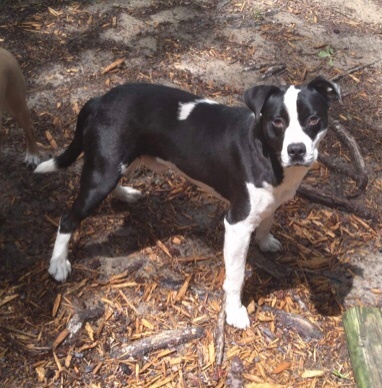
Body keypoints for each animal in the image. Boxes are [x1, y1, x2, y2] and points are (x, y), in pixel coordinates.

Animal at [35, 77, 340, 328]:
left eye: (313, 119)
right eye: (277, 122)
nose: (297, 150)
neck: (265, 149)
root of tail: (99, 99)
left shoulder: (270, 201)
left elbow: (268, 220)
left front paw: (266, 242)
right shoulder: (237, 224)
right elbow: (236, 276)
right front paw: (235, 312)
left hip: (114, 164)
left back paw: (124, 193)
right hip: (102, 174)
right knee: (68, 218)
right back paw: (58, 263)